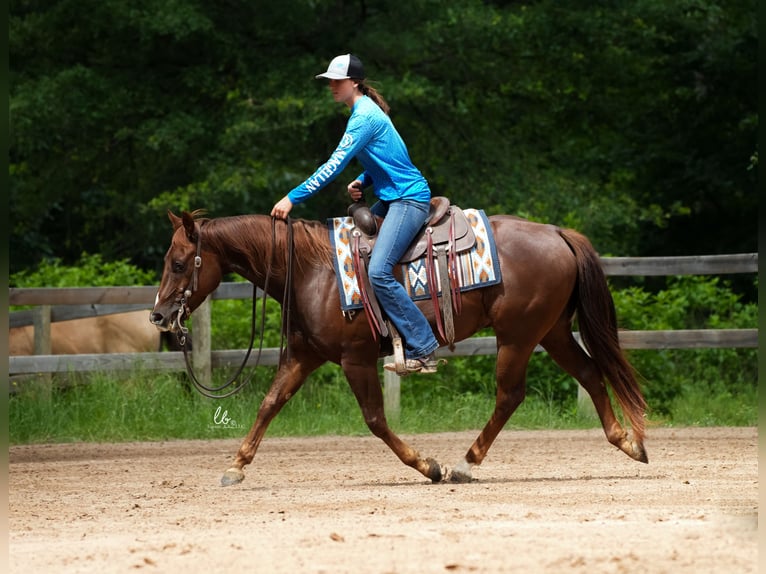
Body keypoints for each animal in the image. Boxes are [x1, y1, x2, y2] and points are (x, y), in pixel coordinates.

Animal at [148, 212, 648, 486]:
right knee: (589, 373)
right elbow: (270, 404)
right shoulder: (302, 356)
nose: (158, 317)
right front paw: (236, 466)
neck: (312, 270)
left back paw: (464, 464)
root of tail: (559, 233)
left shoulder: (355, 359)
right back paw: (628, 441)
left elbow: (374, 419)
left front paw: (427, 465)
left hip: (518, 336)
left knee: (510, 395)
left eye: (179, 263)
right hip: (551, 332)